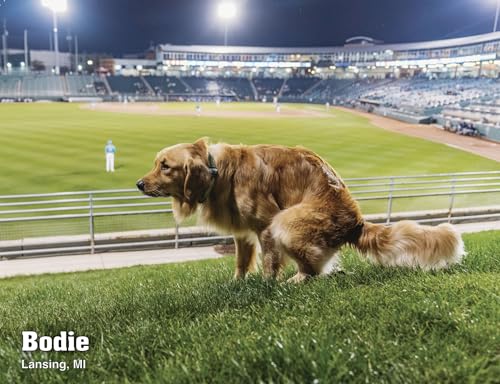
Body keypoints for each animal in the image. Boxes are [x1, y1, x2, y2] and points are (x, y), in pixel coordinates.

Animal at [136, 138, 464, 282]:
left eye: (165, 166)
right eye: (156, 163)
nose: (138, 183)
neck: (217, 169)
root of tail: (356, 222)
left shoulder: (266, 224)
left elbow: (270, 262)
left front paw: (266, 285)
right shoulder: (242, 232)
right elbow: (241, 262)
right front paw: (238, 284)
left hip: (287, 223)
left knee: (313, 271)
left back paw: (295, 280)